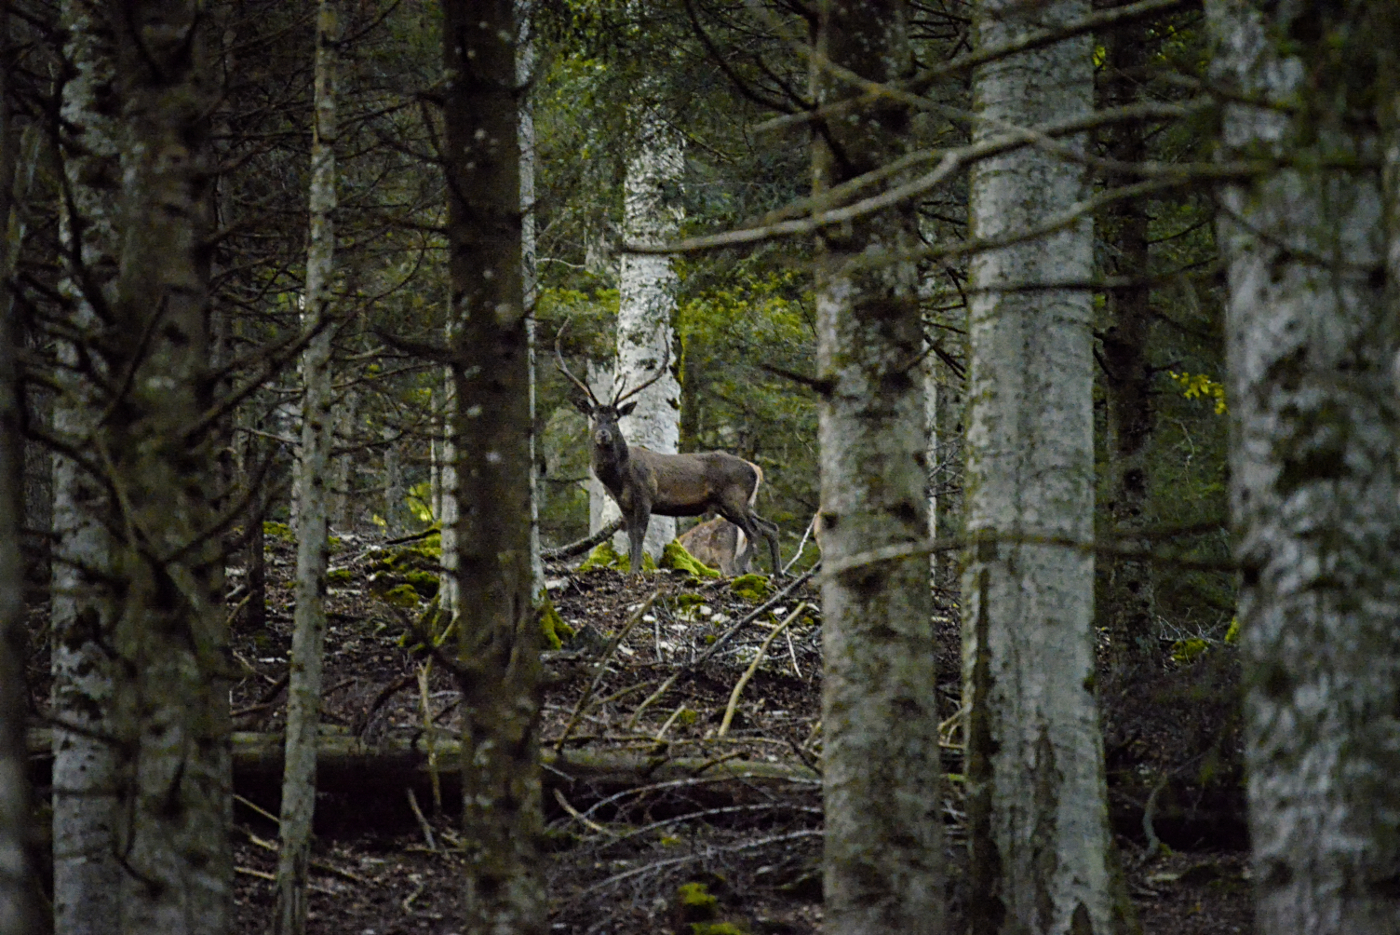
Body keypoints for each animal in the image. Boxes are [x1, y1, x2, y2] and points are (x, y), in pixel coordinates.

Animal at [555, 324, 781, 578]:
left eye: (615, 418)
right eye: (594, 417)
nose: (603, 434)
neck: (619, 478)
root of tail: (755, 471)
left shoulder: (646, 495)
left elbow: (639, 535)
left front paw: (636, 571)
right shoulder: (624, 503)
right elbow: (630, 534)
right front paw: (632, 569)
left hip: (734, 498)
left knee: (754, 531)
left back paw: (742, 568)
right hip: (737, 503)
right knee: (770, 527)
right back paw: (778, 572)